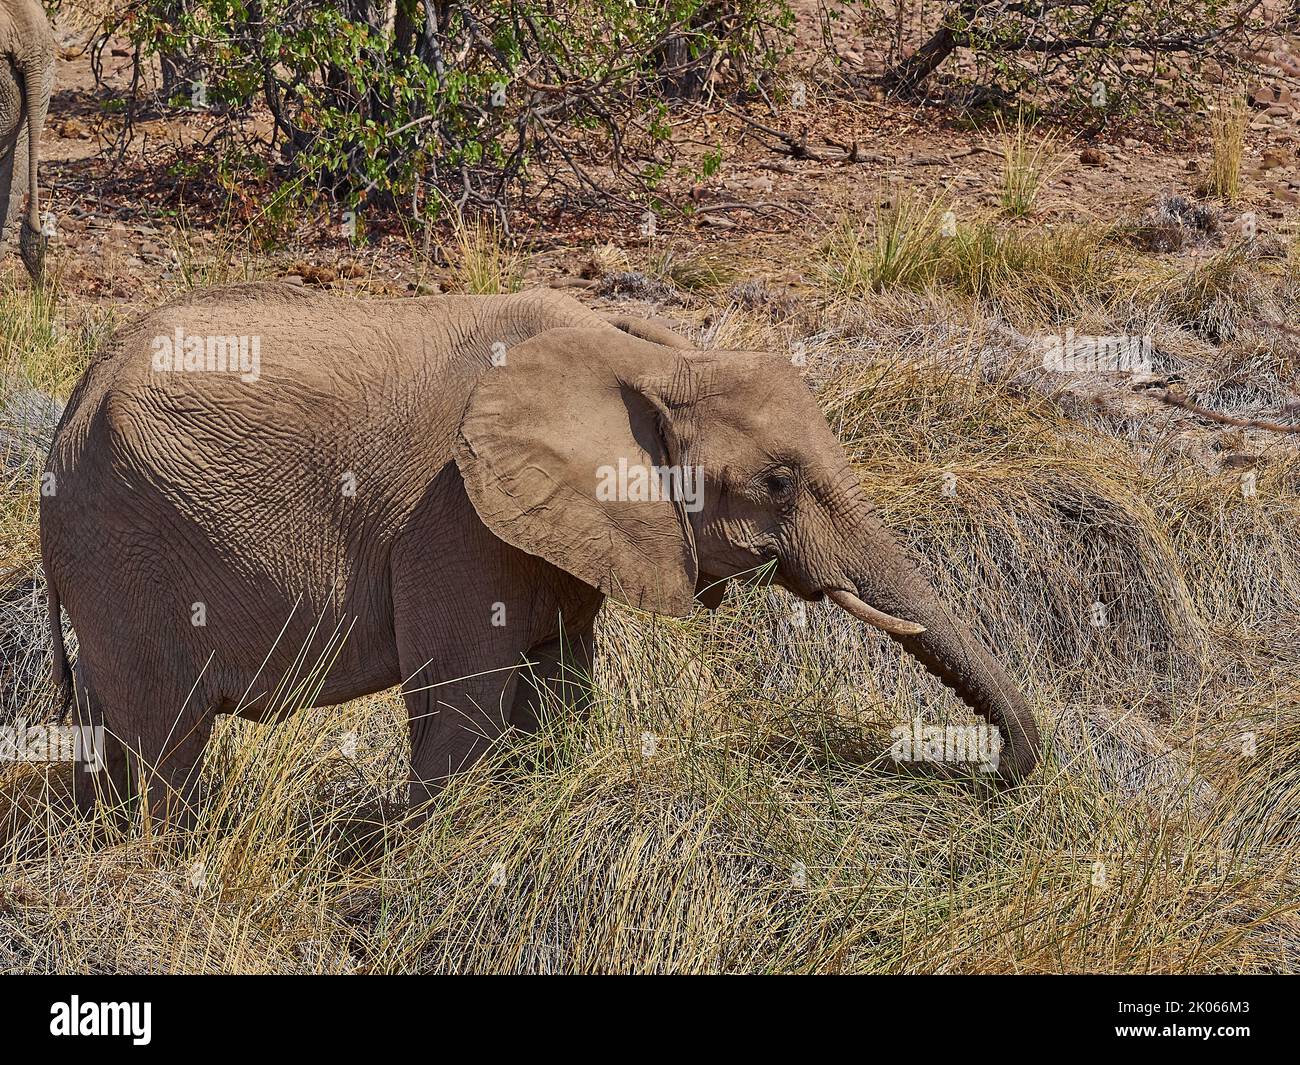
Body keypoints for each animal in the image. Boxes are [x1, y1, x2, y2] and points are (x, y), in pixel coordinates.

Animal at [40, 284, 1040, 823]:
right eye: (781, 483)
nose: (1002, 774)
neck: (642, 355)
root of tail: (69, 410)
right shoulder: (451, 514)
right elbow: (466, 706)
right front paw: (415, 854)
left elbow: (561, 683)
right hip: (127, 546)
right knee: (167, 742)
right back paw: (172, 853)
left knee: (114, 731)